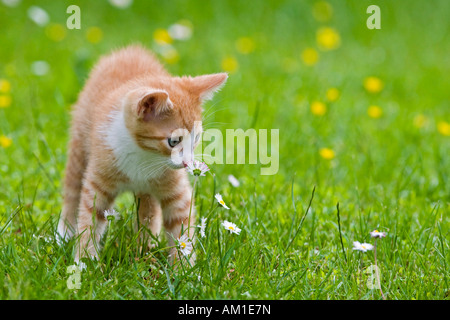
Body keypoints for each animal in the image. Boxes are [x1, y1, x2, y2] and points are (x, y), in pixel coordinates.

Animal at [59, 45, 229, 264]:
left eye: (197, 138)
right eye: (173, 141)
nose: (187, 164)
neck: (144, 155)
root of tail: (130, 51)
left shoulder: (175, 187)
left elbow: (181, 225)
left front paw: (185, 267)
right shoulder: (99, 176)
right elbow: (90, 217)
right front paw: (83, 262)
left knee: (148, 209)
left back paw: (145, 247)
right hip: (80, 143)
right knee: (72, 189)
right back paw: (63, 233)